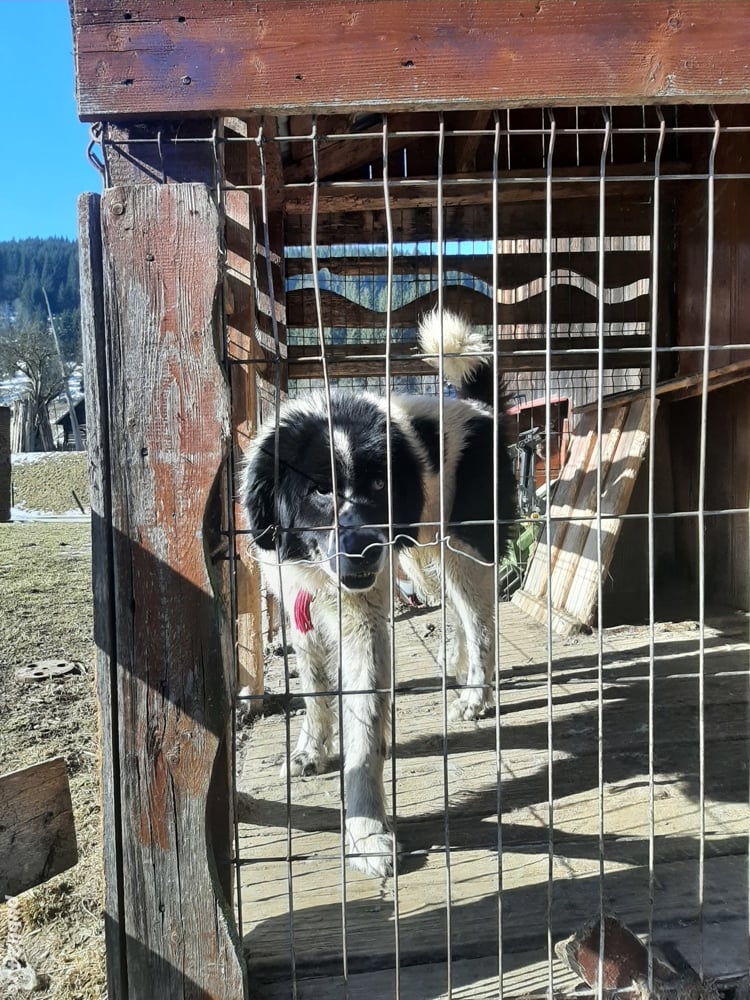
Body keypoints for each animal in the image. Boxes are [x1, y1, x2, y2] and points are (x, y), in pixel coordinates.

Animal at [241, 310, 516, 876]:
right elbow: (315, 690)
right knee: (461, 617)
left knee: (481, 625)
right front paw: (312, 749)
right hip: (425, 556)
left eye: (379, 485)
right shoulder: (300, 606)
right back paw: (458, 669)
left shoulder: (363, 624)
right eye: (320, 489)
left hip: (462, 552)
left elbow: (364, 729)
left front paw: (366, 832)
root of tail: (480, 410)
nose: (366, 548)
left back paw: (476, 694)